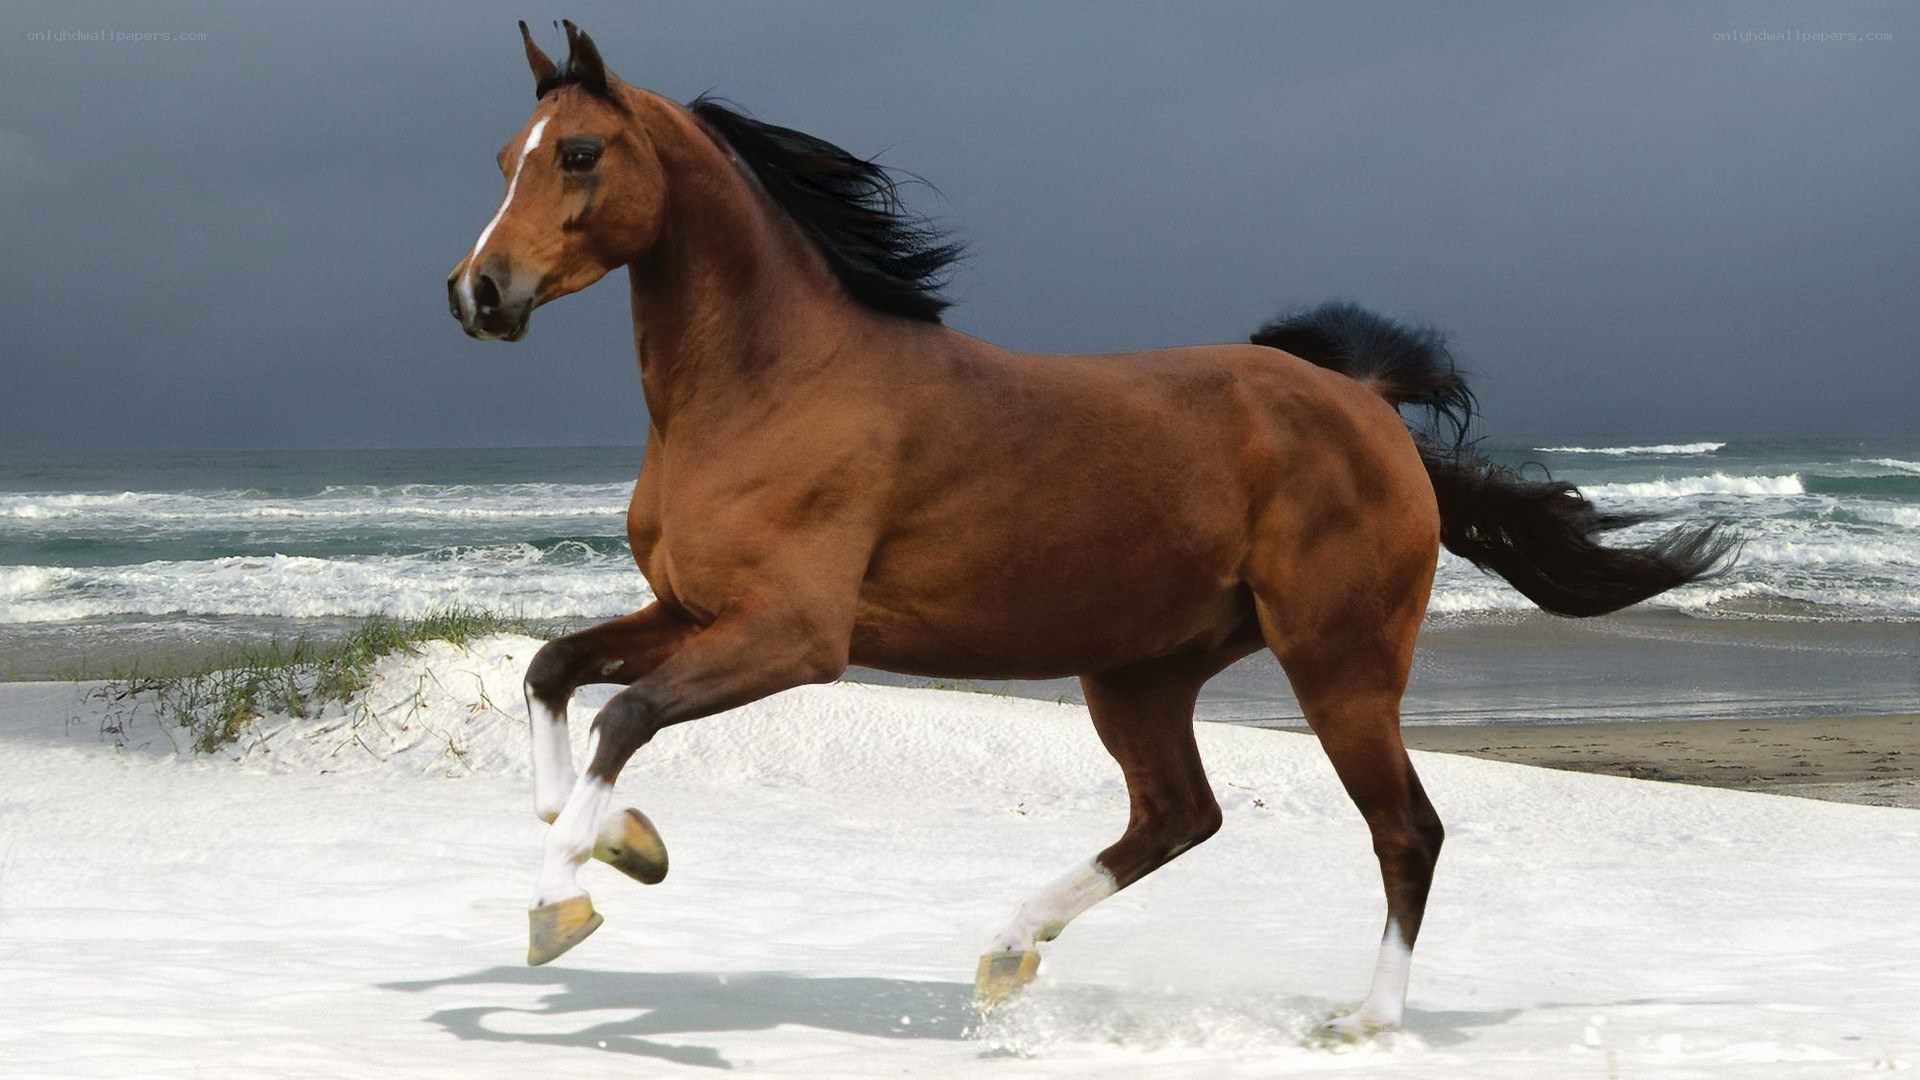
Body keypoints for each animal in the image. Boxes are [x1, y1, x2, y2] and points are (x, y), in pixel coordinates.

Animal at [445, 22, 1732, 1037]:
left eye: (578, 152)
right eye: (506, 158)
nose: (478, 293)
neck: (769, 382)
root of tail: (1364, 403)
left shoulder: (794, 638)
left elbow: (625, 715)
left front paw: (564, 899)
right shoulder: (693, 609)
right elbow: (554, 671)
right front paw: (620, 842)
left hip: (1340, 664)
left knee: (1405, 830)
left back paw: (1363, 1019)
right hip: (1143, 671)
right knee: (1179, 816)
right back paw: (1008, 949)